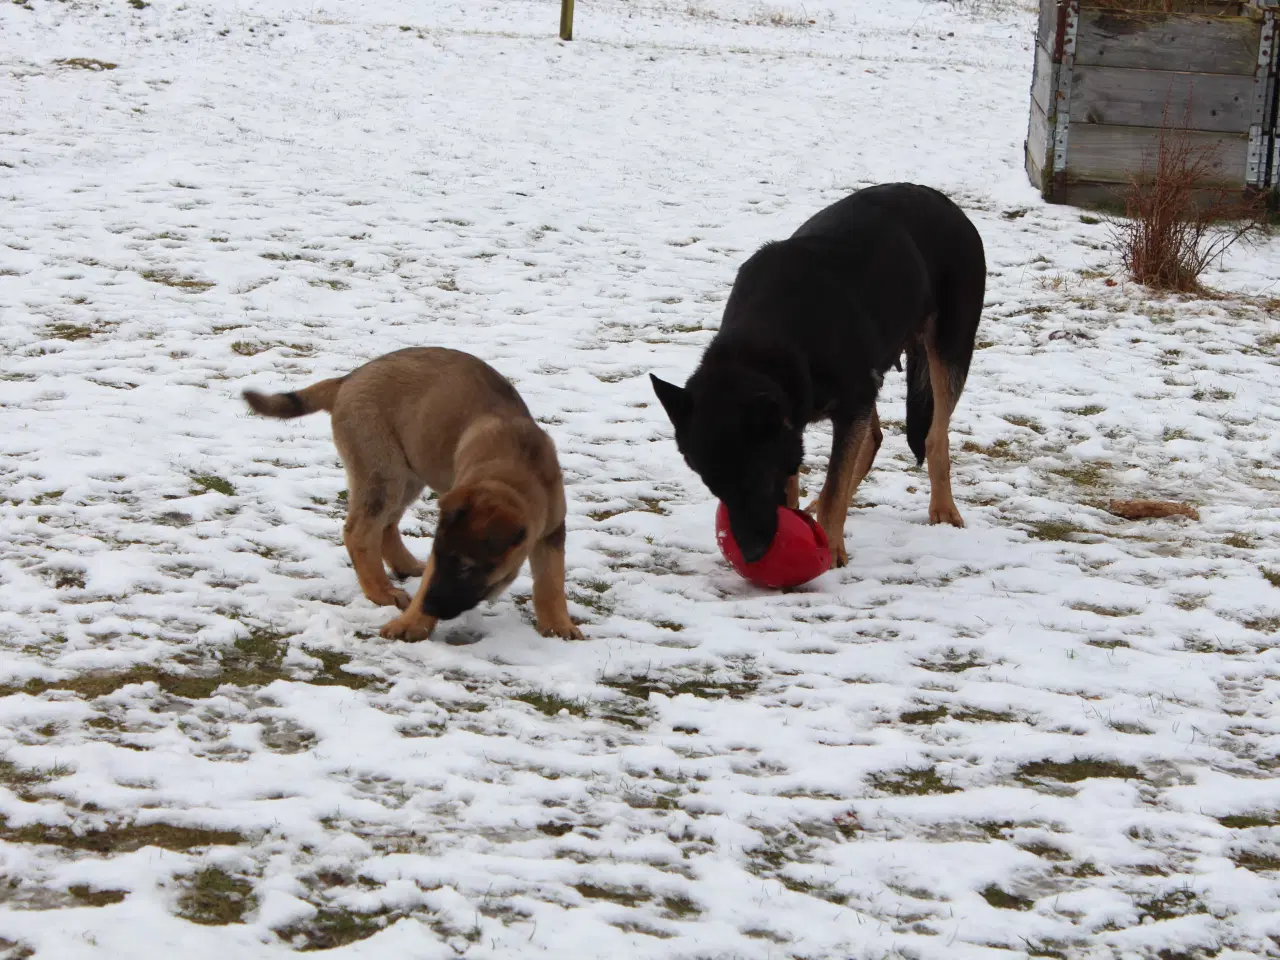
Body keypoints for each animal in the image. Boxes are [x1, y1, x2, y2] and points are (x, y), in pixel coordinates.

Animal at [241, 348, 583, 647]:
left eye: (467, 568)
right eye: (442, 559)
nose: (430, 607)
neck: (514, 467)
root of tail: (347, 380)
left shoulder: (552, 529)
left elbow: (551, 580)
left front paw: (558, 625)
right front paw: (411, 624)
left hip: (408, 473)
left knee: (386, 525)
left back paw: (404, 566)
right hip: (383, 471)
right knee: (360, 532)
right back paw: (382, 592)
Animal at [650, 184, 988, 568]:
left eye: (757, 479)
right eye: (713, 486)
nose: (752, 555)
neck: (762, 341)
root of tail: (944, 201)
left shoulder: (849, 402)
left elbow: (835, 484)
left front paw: (832, 548)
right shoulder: (802, 415)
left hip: (948, 351)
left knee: (934, 436)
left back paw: (943, 508)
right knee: (874, 439)